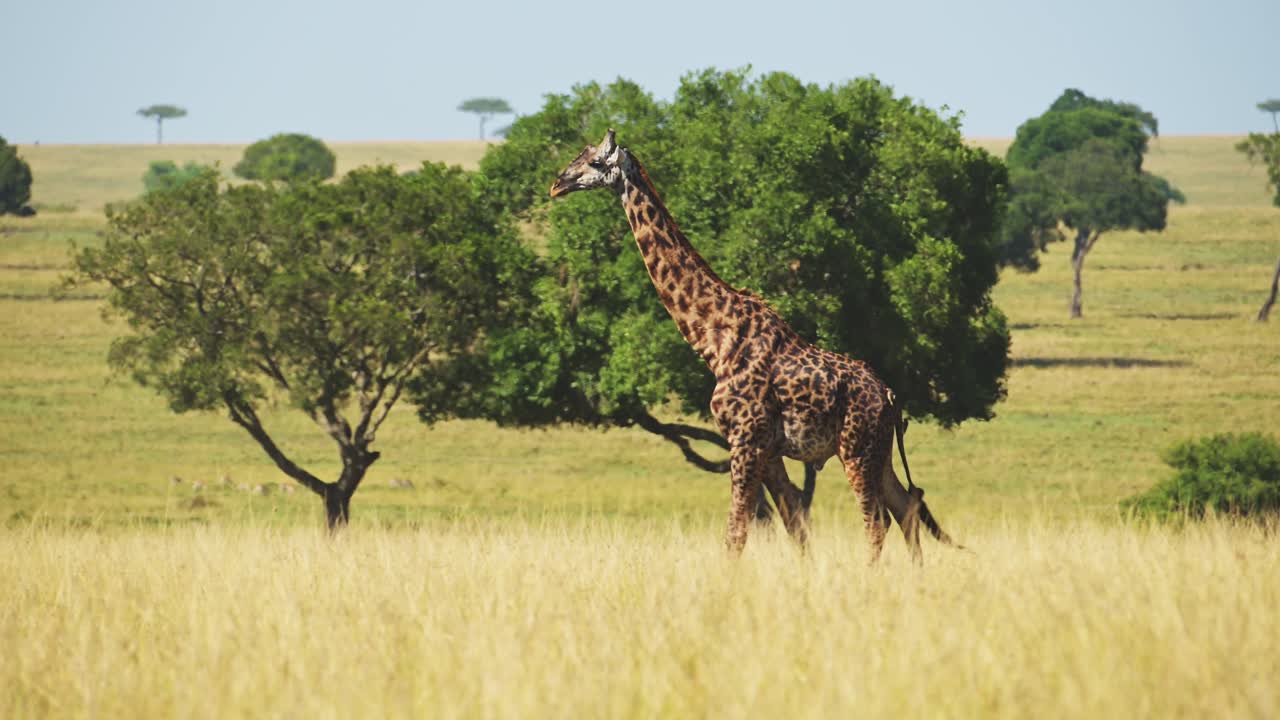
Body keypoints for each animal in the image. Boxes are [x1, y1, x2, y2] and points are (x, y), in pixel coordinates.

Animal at [550, 130, 959, 561]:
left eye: (595, 161)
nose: (557, 184)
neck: (714, 339)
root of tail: (890, 396)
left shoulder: (745, 438)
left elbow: (736, 534)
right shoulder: (769, 448)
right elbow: (795, 527)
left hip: (857, 447)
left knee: (877, 522)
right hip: (880, 452)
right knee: (906, 506)